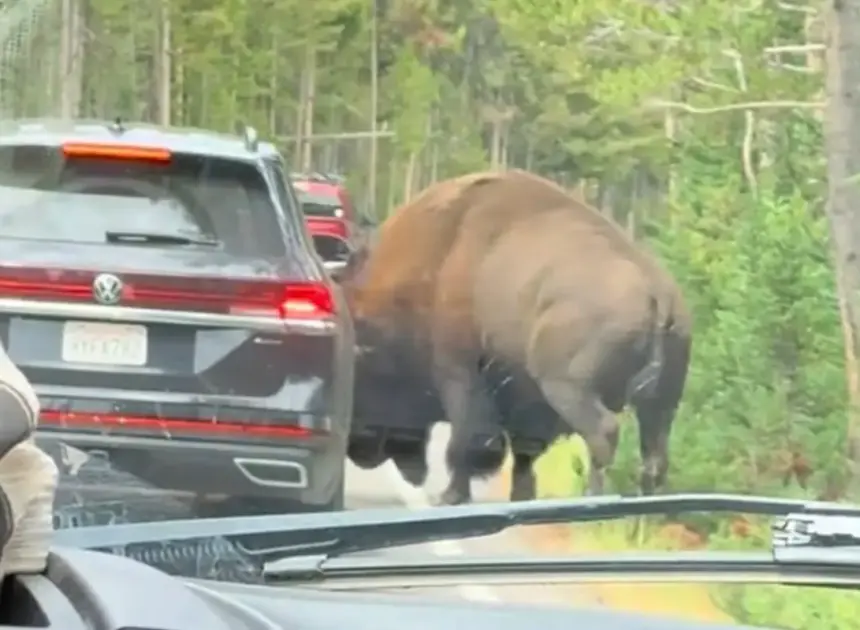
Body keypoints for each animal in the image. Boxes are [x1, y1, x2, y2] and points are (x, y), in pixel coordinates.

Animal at [343, 169, 691, 505]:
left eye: (365, 375)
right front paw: (521, 496)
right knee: (655, 454)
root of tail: (657, 289)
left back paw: (593, 497)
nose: (357, 450)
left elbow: (466, 438)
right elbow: (525, 451)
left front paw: (452, 496)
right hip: (663, 402)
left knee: (603, 432)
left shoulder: (458, 373)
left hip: (567, 387)